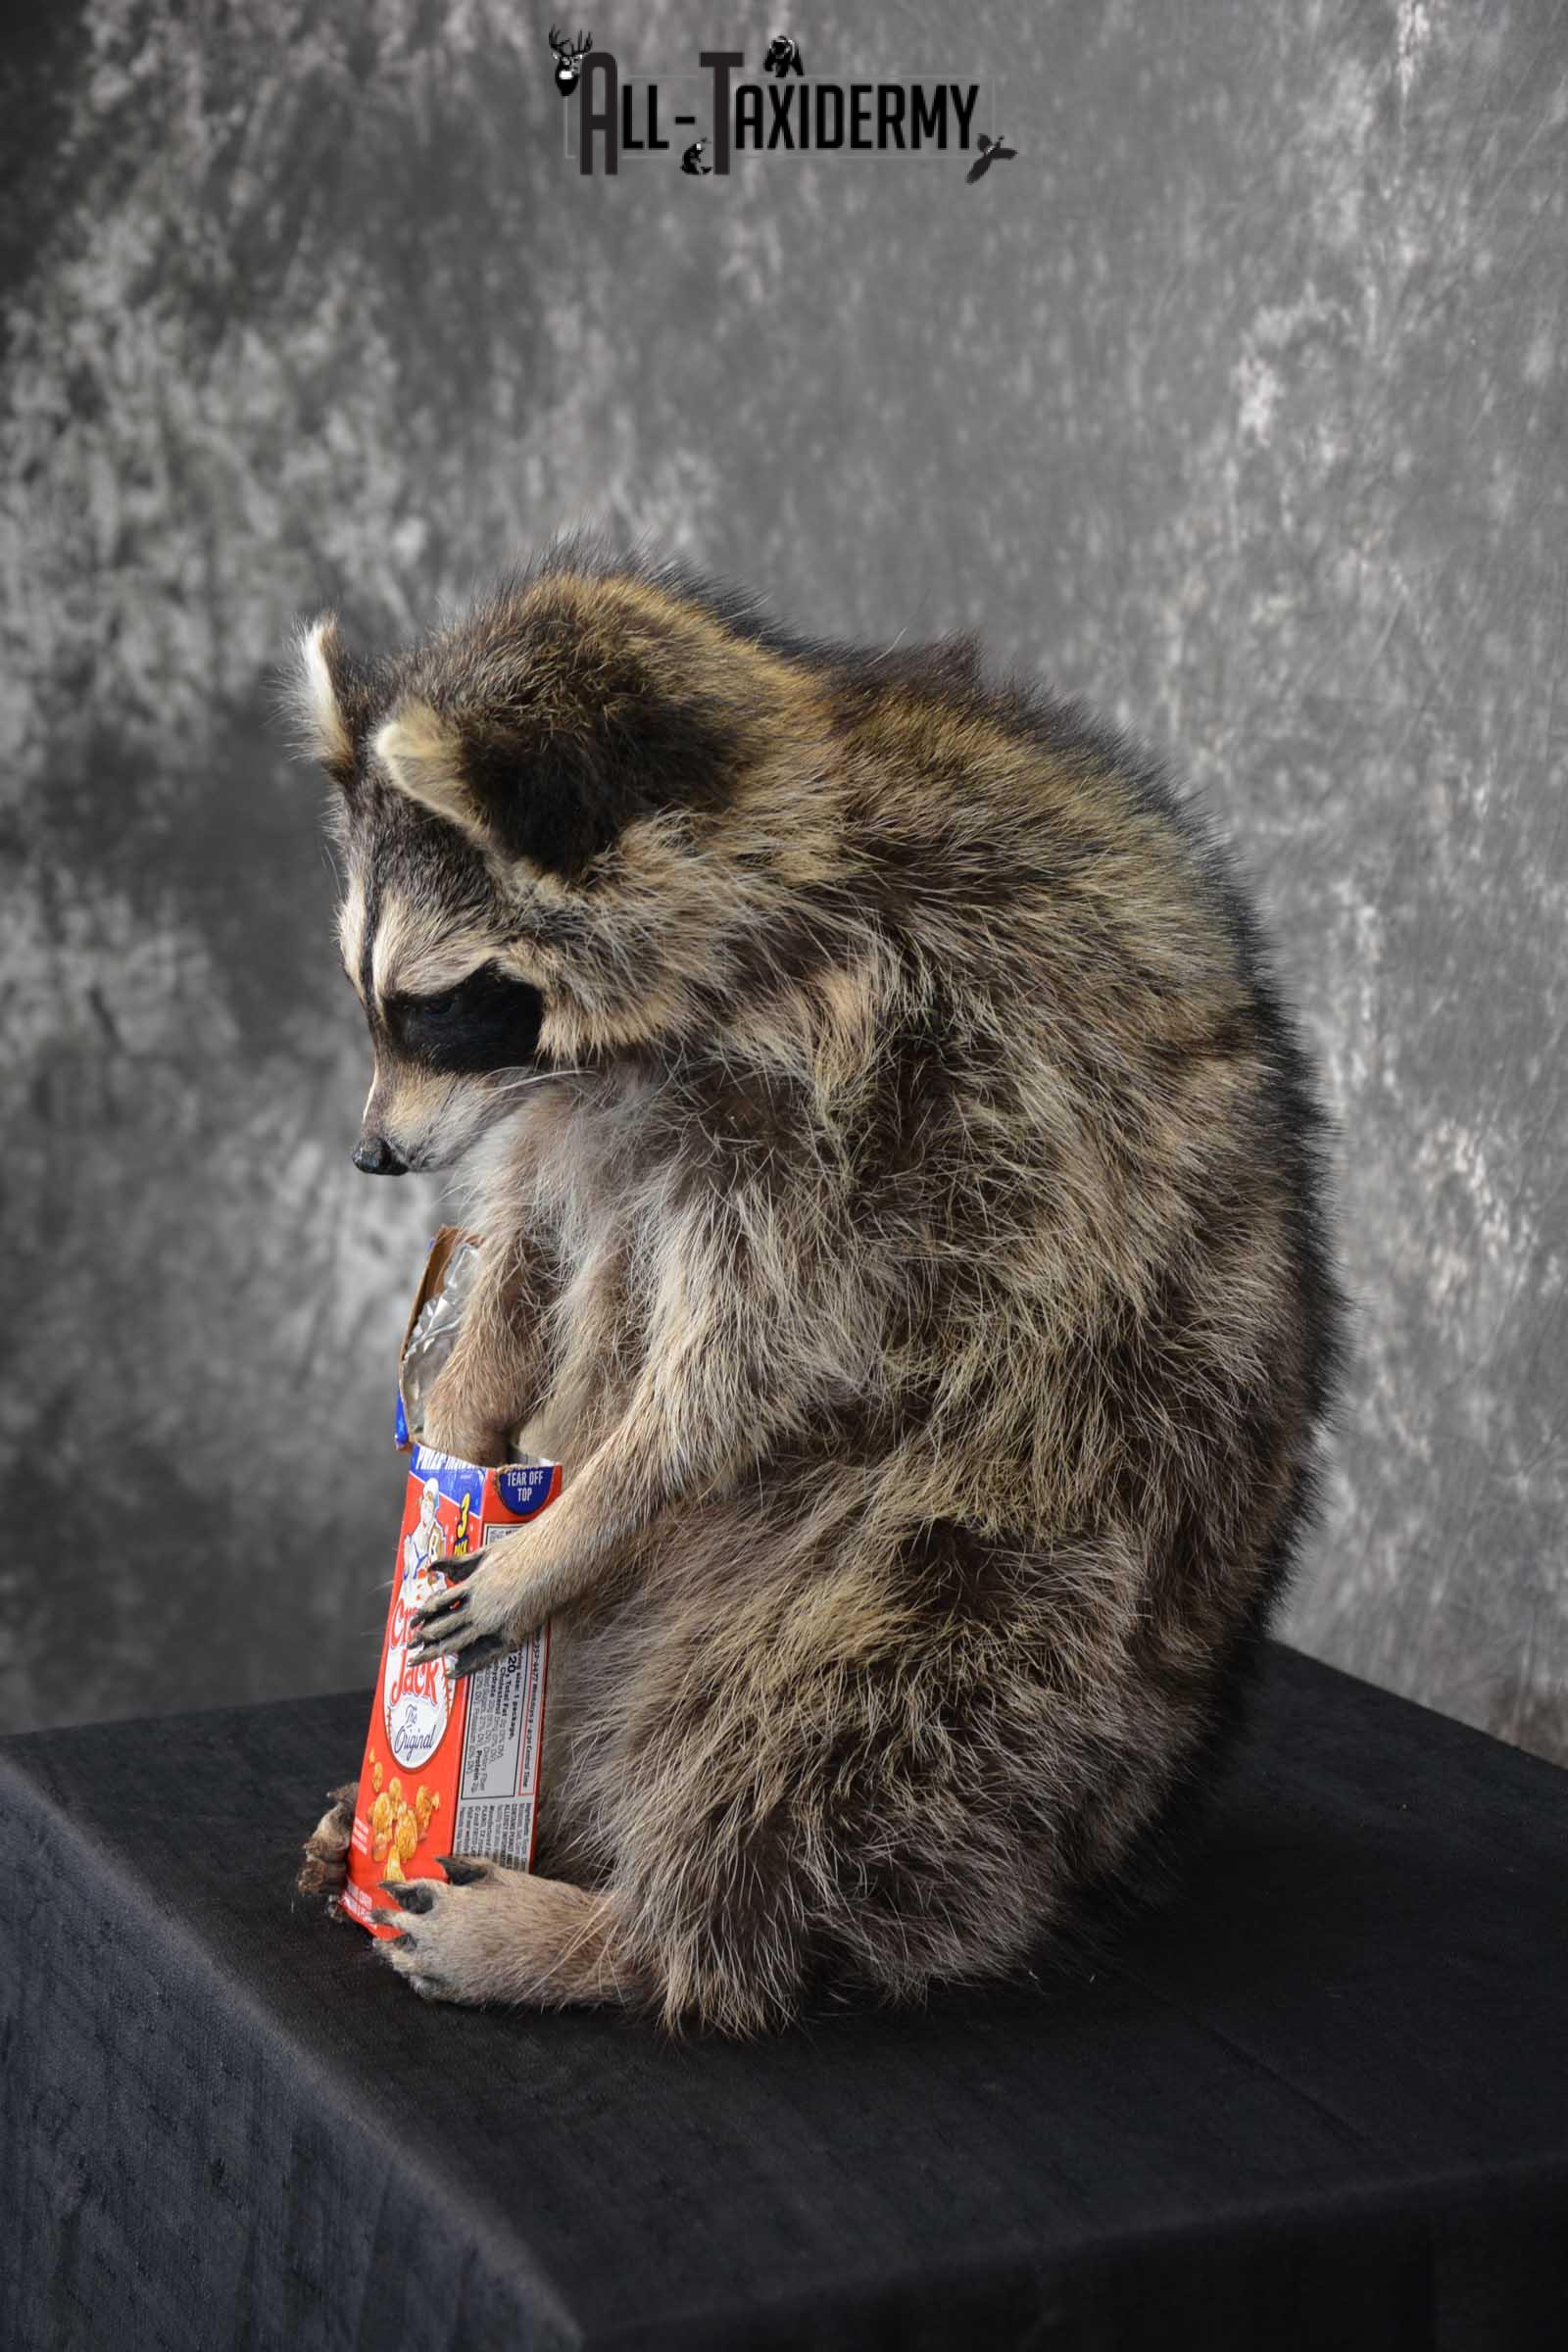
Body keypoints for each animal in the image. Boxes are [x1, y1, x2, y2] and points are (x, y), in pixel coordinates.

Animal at [293, 541, 1346, 2034]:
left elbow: (758, 1355)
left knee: (836, 1717)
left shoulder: (900, 1089)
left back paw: (636, 1933)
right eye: (363, 992)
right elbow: (533, 1240)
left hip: (1029, 1530)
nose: (373, 1155)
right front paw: (459, 1421)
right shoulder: (584, 1106)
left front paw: (591, 1507)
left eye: (435, 1005)